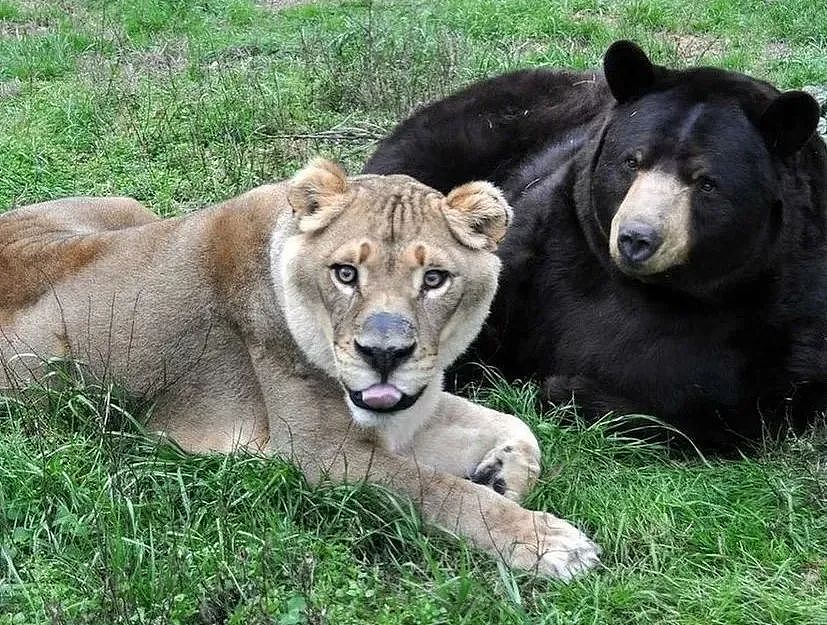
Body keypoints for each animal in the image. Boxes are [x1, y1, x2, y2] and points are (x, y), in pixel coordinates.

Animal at [363, 40, 827, 449]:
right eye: (632, 161)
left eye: (706, 183)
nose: (636, 239)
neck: (660, 290)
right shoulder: (546, 246)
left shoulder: (781, 325)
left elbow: (731, 411)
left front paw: (569, 388)